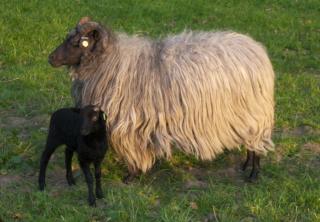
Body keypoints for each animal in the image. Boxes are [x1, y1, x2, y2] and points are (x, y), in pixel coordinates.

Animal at [48, 16, 276, 182]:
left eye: (79, 43)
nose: (51, 58)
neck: (110, 61)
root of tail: (256, 50)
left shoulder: (129, 124)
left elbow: (133, 150)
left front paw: (131, 175)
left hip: (253, 114)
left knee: (256, 144)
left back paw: (253, 174)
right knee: (250, 144)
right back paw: (245, 166)